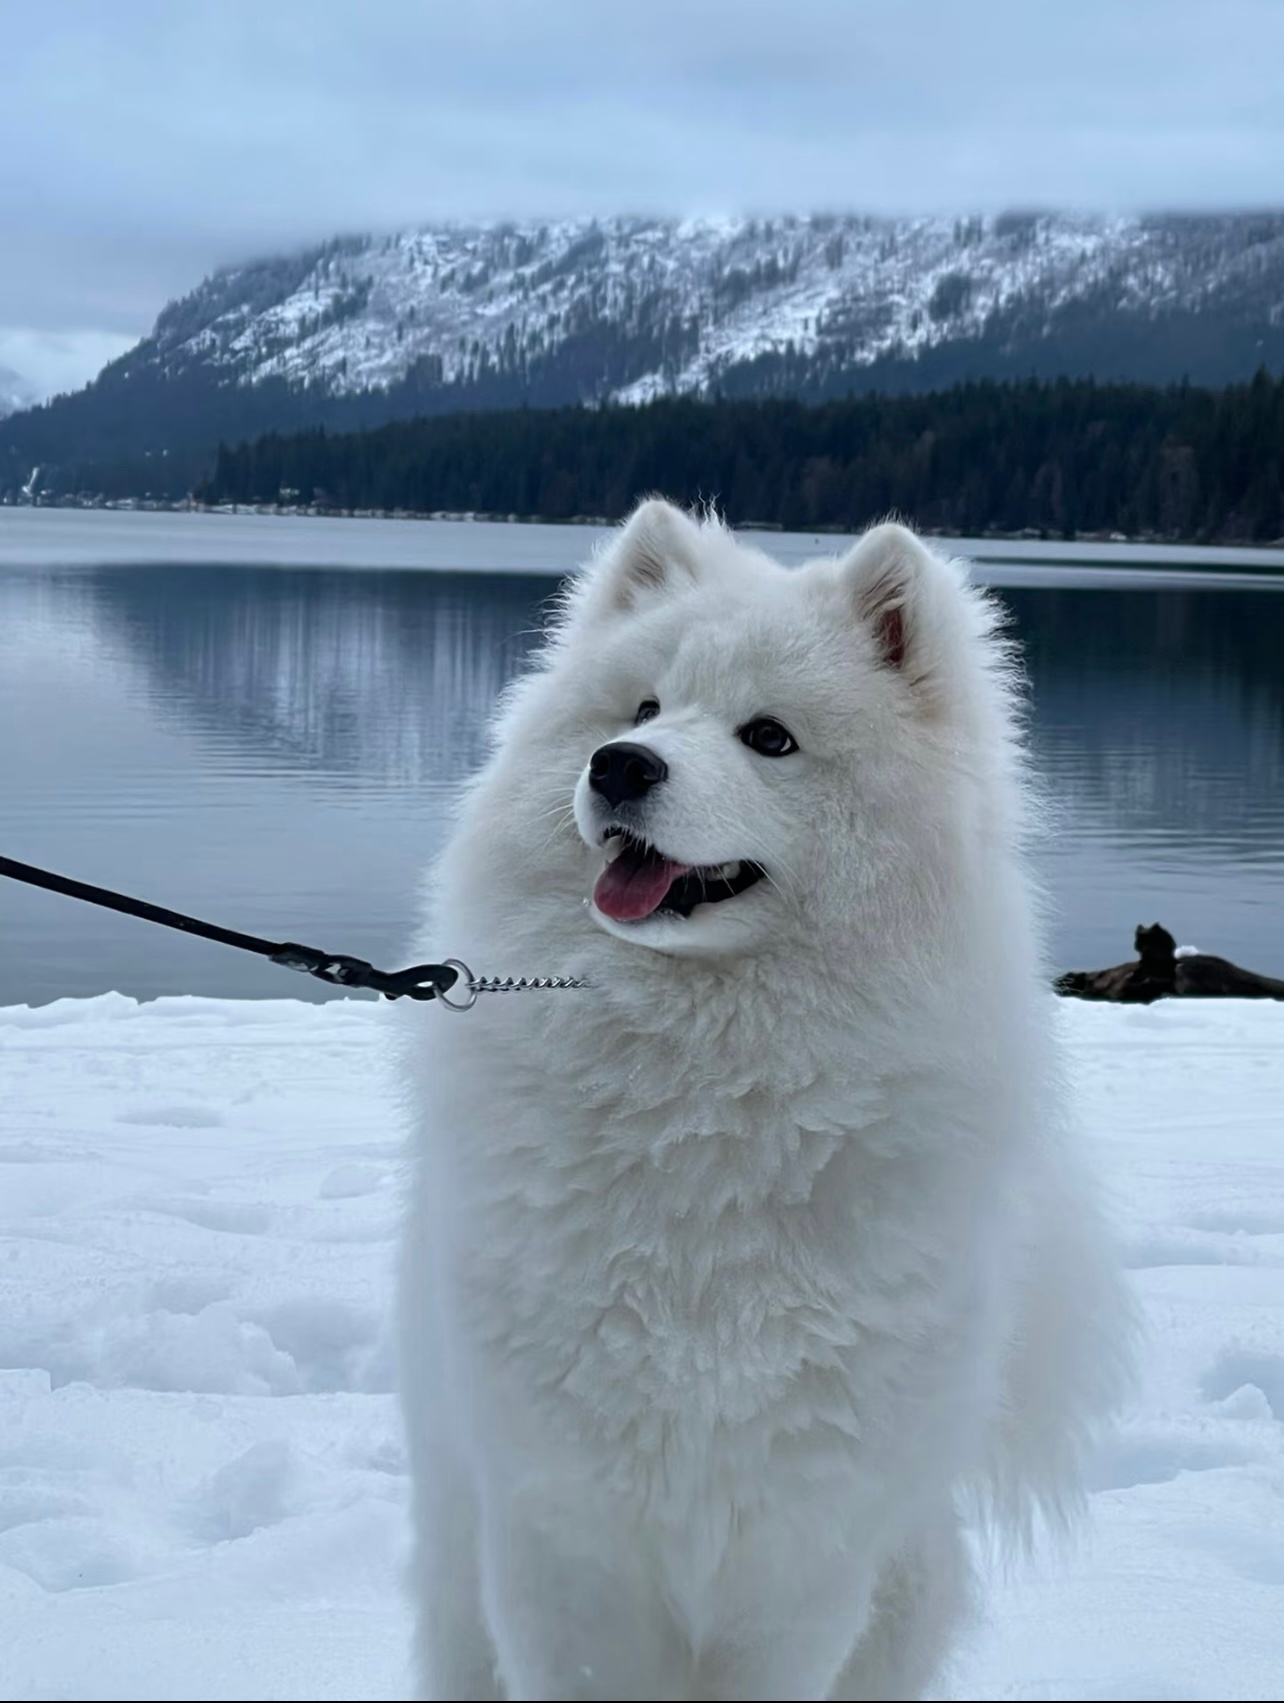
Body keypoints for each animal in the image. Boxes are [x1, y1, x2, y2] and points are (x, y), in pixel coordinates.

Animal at [395, 497, 1123, 1696]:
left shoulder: (799, 1556)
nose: (618, 765)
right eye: (645, 707)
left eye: (770, 737)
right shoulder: (564, 1539)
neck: (702, 1093)